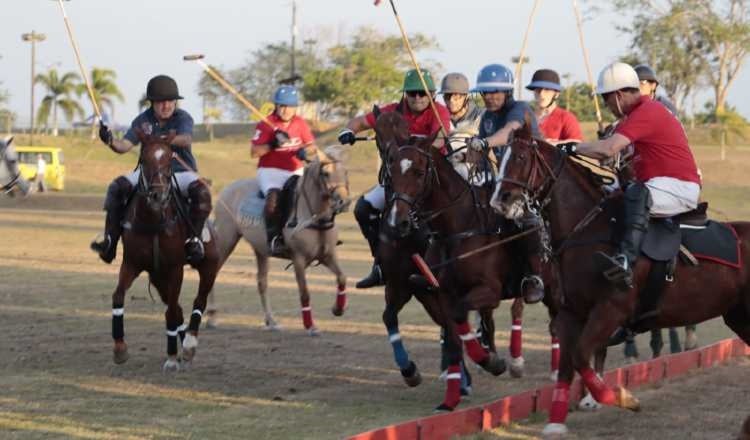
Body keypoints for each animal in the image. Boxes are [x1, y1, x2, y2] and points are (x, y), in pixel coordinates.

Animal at [110, 131, 220, 372]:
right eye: (144, 159)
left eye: (170, 160)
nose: (157, 195)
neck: (153, 220)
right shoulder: (132, 263)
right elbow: (118, 296)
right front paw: (120, 348)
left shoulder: (175, 268)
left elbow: (171, 311)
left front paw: (171, 357)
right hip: (158, 277)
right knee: (177, 308)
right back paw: (183, 344)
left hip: (209, 266)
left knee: (198, 301)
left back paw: (189, 345)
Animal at [207, 146, 352, 336]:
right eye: (326, 173)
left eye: (346, 172)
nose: (344, 202)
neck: (315, 217)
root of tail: (227, 189)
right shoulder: (298, 259)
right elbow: (304, 292)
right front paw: (310, 326)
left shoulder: (328, 255)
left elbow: (342, 277)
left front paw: (338, 309)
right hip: (226, 239)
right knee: (213, 272)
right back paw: (211, 318)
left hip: (260, 249)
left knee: (262, 283)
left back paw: (272, 321)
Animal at [490, 127, 750, 436]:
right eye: (499, 158)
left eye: (519, 156)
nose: (499, 201)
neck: (587, 227)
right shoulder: (570, 312)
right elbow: (567, 363)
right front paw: (555, 424)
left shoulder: (611, 309)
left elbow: (581, 355)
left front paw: (623, 397)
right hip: (738, 316)